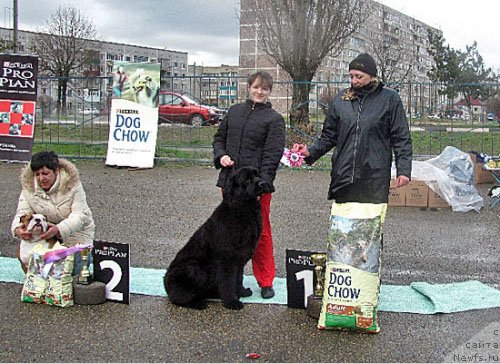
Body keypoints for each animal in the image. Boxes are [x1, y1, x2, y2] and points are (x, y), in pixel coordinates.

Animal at [165, 166, 266, 308]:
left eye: (258, 175)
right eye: (248, 179)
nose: (263, 183)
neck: (244, 207)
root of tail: (166, 285)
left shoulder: (239, 258)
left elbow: (238, 278)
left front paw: (241, 292)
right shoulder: (226, 259)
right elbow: (228, 282)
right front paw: (232, 302)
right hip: (193, 268)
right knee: (177, 297)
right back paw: (197, 303)